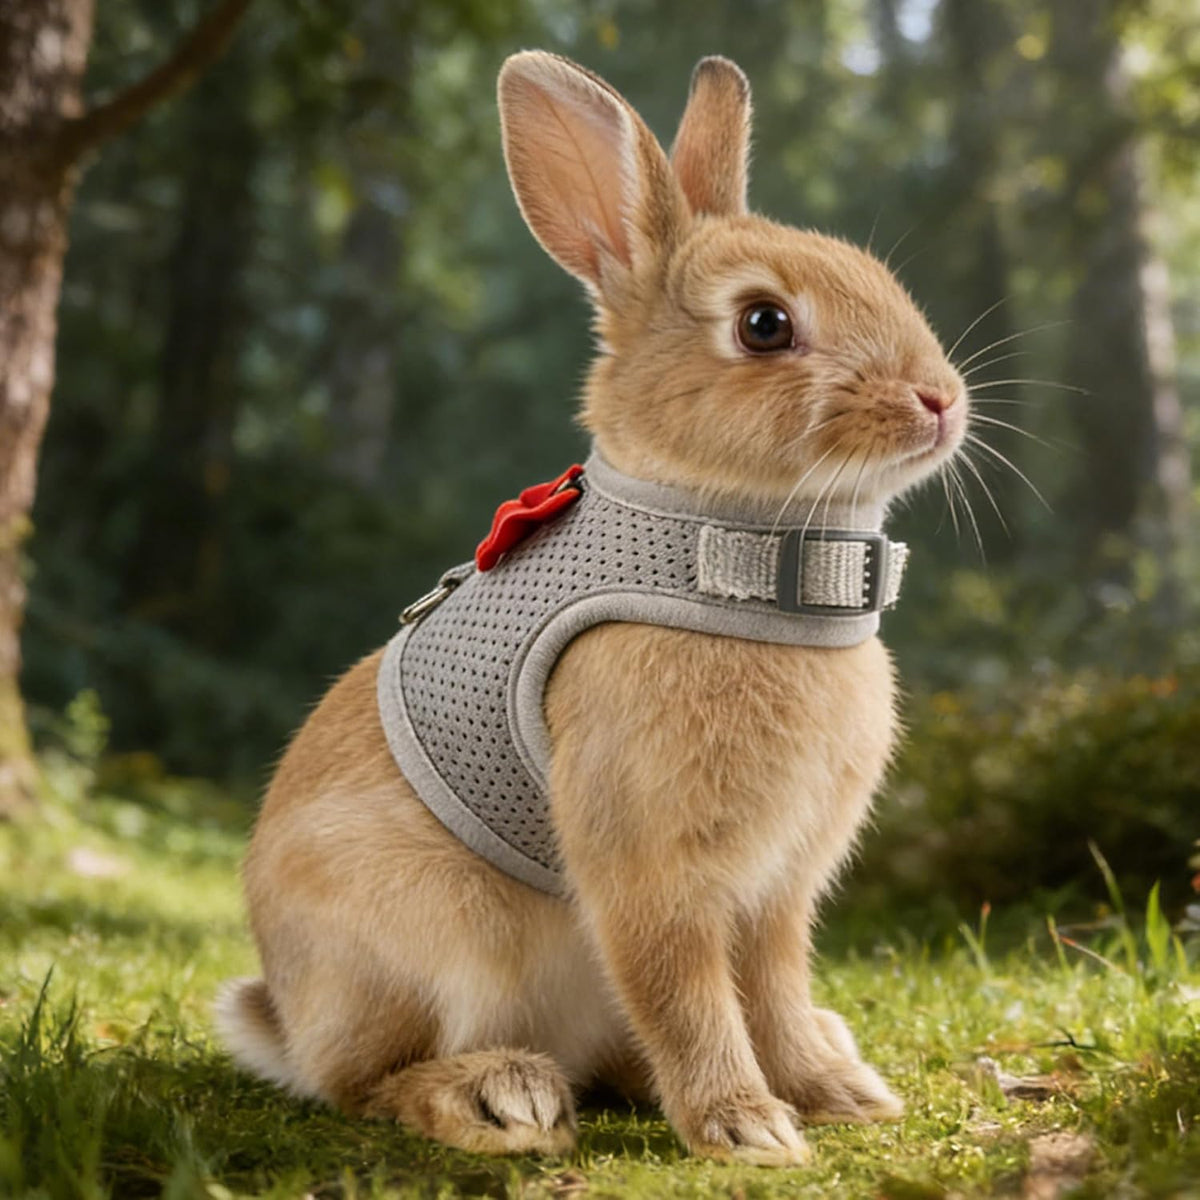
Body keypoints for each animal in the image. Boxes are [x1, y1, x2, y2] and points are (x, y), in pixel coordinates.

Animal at [216, 50, 966, 1167]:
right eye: (764, 323)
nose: (940, 400)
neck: (737, 561)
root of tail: (284, 1016)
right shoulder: (647, 861)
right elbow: (684, 988)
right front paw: (747, 1128)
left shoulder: (779, 886)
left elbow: (775, 988)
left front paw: (836, 1095)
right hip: (432, 934)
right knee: (363, 1082)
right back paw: (499, 1097)